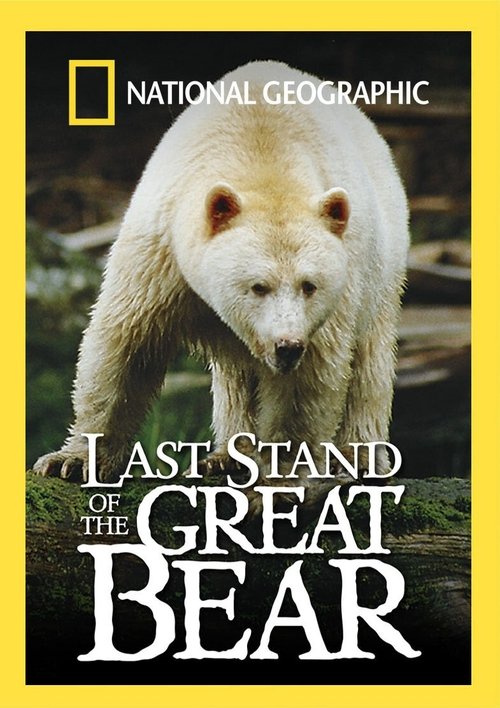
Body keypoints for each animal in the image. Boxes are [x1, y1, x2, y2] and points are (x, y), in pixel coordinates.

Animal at [33, 60, 409, 484]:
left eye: (309, 285)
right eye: (258, 286)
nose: (287, 346)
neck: (262, 157)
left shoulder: (329, 308)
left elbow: (306, 384)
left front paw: (281, 476)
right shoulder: (161, 253)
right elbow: (125, 348)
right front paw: (72, 460)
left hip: (381, 268)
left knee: (369, 363)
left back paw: (357, 458)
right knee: (236, 376)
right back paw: (228, 455)